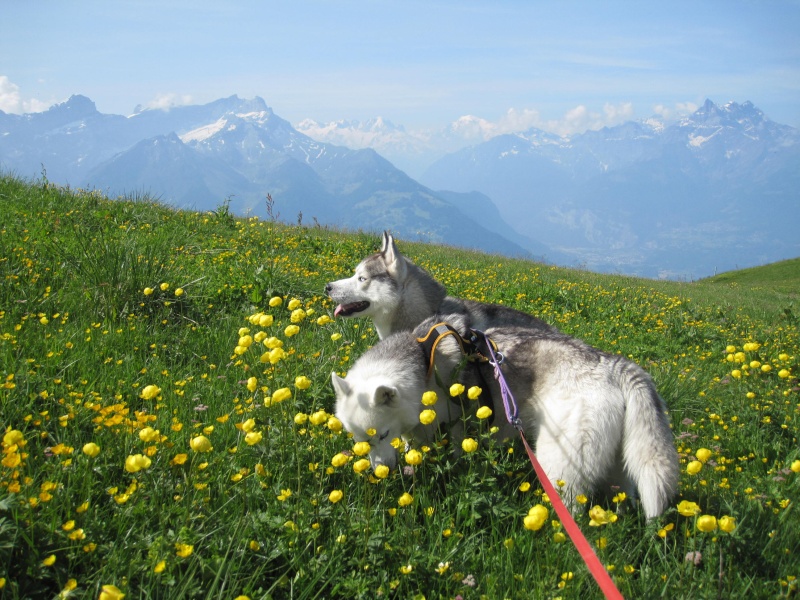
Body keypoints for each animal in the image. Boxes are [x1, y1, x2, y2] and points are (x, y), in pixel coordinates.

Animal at [332, 314, 680, 520]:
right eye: (360, 440)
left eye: (380, 435)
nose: (379, 472)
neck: (423, 363)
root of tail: (612, 363)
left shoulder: (457, 429)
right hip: (617, 471)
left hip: (560, 467)